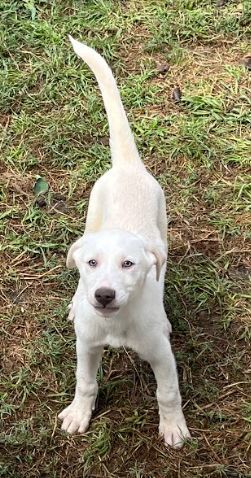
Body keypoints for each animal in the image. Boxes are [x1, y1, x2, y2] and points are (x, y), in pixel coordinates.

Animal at [58, 36, 190, 448]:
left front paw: (173, 426)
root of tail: (127, 166)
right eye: (92, 264)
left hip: (163, 228)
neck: (116, 323)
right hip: (92, 213)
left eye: (129, 264)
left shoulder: (161, 354)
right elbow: (84, 381)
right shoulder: (87, 346)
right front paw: (79, 413)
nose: (103, 295)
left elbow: (168, 391)